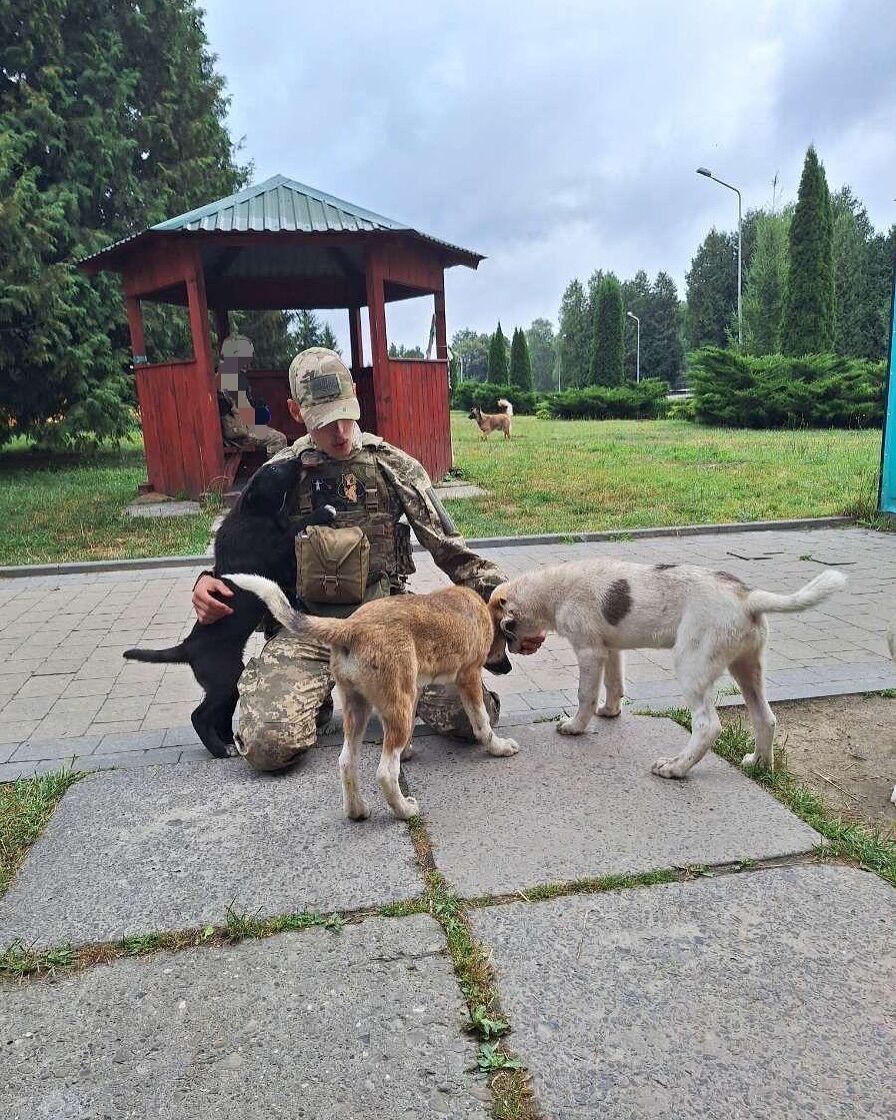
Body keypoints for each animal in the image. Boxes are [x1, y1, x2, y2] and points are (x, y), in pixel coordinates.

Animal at [123, 456, 336, 761]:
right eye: (273, 469)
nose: (297, 459)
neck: (253, 513)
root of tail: (188, 645)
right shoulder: (275, 550)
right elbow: (296, 528)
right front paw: (323, 511)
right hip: (224, 678)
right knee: (199, 716)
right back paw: (219, 749)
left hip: (228, 680)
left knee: (219, 714)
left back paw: (227, 742)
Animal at [227, 573, 515, 819]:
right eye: (505, 644)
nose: (509, 668)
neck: (480, 610)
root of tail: (350, 627)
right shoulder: (469, 677)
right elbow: (482, 722)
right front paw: (498, 747)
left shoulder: (414, 689)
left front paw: (407, 752)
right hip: (393, 708)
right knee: (385, 772)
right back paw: (404, 810)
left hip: (361, 706)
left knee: (347, 762)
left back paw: (357, 810)